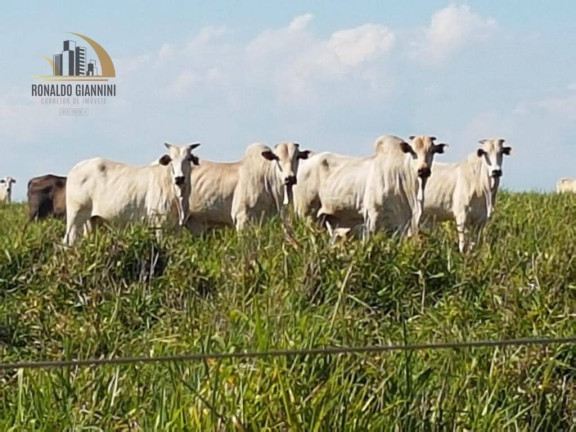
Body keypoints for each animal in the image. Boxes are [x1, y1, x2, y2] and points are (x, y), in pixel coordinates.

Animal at [63, 143, 201, 246]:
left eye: (188, 159)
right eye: (171, 159)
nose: (179, 178)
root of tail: (74, 169)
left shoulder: (177, 228)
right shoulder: (159, 224)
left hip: (92, 221)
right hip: (76, 215)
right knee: (68, 240)